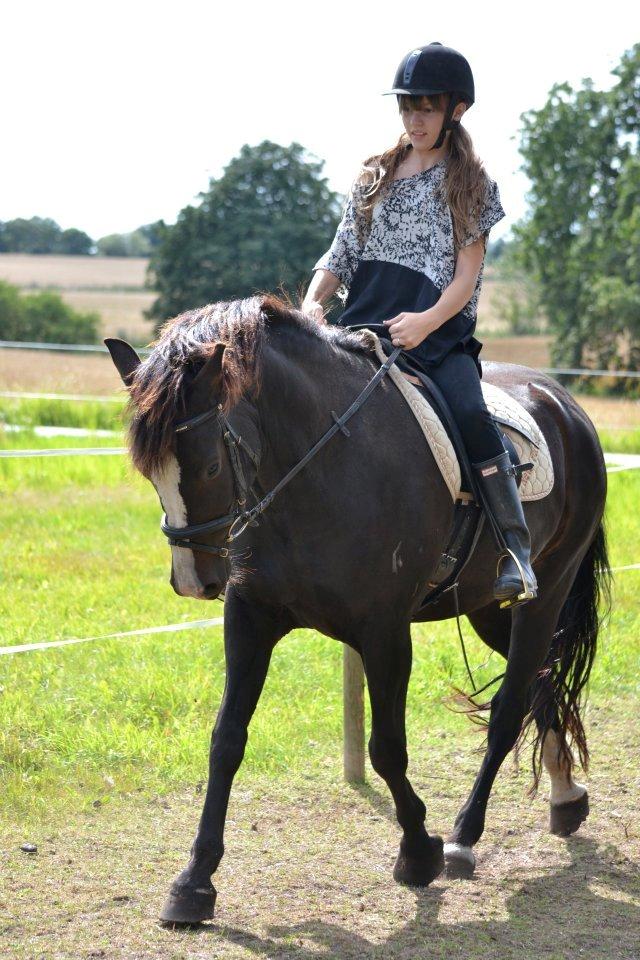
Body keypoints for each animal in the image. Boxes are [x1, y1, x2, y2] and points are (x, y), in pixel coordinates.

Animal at [107, 290, 612, 924]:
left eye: (209, 467)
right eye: (149, 473)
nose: (193, 582)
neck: (315, 468)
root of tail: (563, 403)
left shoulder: (385, 632)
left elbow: (386, 749)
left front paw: (419, 851)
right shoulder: (249, 619)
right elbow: (226, 740)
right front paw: (194, 882)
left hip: (546, 589)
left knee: (510, 705)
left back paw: (464, 837)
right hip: (490, 610)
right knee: (544, 681)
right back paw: (566, 796)